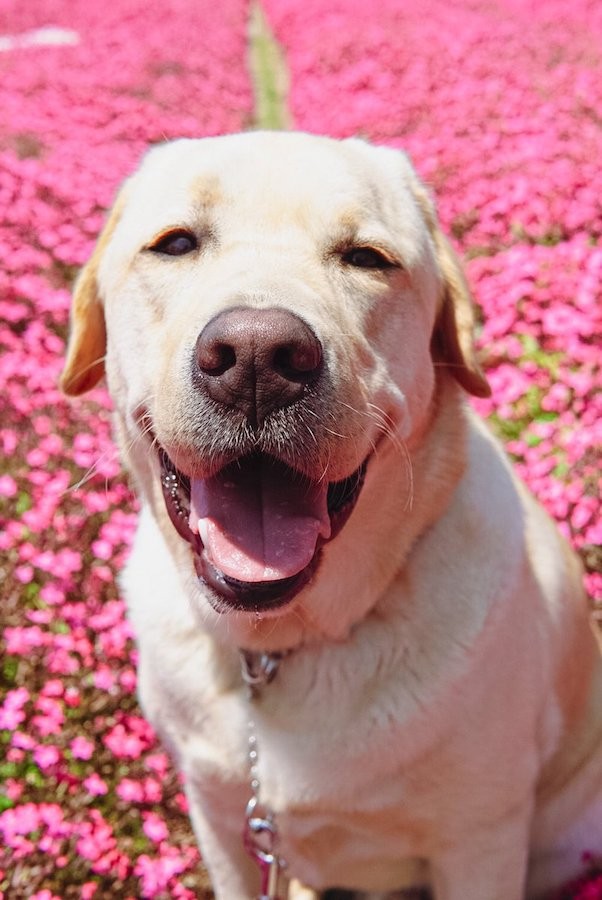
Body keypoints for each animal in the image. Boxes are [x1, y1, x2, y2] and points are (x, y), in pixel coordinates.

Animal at [59, 130, 600, 896]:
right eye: (175, 244)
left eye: (367, 258)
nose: (257, 358)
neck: (279, 649)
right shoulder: (219, 818)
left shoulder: (482, 835)